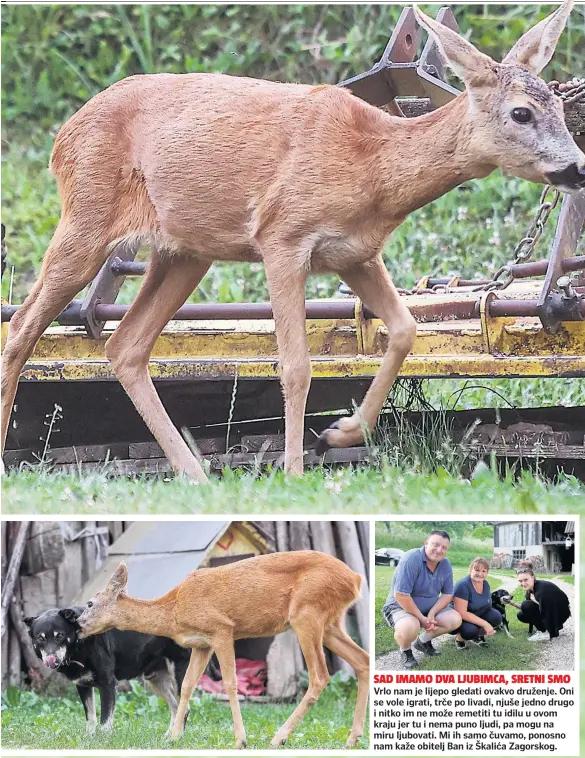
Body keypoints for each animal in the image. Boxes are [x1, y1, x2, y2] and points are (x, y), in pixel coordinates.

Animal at [2, 1, 580, 480]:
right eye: (521, 112)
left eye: (556, 104)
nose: (576, 167)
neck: (372, 167)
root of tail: (61, 137)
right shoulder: (282, 237)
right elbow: (296, 366)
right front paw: (297, 472)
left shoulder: (355, 253)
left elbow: (405, 330)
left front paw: (339, 433)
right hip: (88, 216)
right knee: (23, 329)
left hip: (184, 252)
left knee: (124, 346)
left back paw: (194, 475)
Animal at [25, 608, 194, 732]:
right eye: (40, 638)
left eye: (59, 635)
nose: (51, 659)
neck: (80, 643)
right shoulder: (83, 685)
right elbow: (91, 717)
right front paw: (89, 738)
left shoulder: (107, 683)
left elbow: (105, 719)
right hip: (155, 681)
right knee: (175, 708)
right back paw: (167, 738)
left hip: (179, 676)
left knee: (184, 709)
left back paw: (176, 738)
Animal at [76, 548, 370, 752]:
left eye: (90, 603)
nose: (77, 625)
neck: (175, 609)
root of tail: (355, 579)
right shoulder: (201, 644)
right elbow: (187, 685)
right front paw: (173, 736)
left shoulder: (221, 629)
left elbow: (230, 682)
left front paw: (240, 740)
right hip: (329, 622)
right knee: (362, 660)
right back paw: (352, 738)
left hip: (307, 614)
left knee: (320, 675)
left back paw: (279, 737)